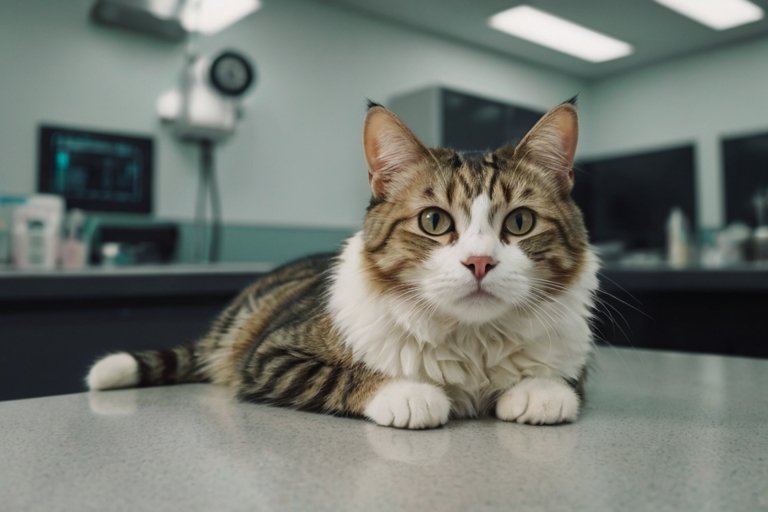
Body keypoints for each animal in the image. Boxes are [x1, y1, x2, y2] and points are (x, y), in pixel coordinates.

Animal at [87, 96, 596, 428]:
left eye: (520, 222)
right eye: (434, 220)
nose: (479, 262)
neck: (472, 339)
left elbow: (567, 380)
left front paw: (540, 391)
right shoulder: (272, 357)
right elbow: (342, 377)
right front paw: (408, 393)